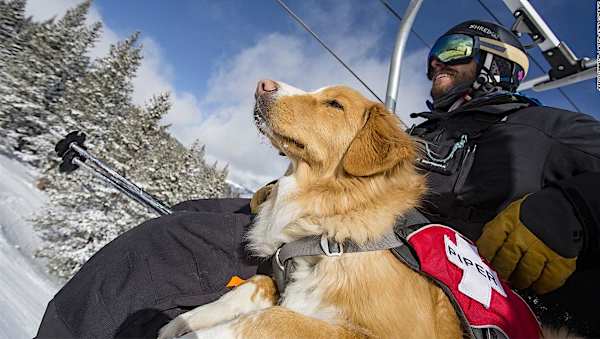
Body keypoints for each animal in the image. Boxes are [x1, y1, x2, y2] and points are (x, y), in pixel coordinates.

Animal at [158, 80, 556, 339]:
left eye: (334, 105)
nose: (263, 84)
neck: (331, 232)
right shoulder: (281, 282)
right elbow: (257, 285)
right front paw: (181, 324)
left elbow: (276, 320)